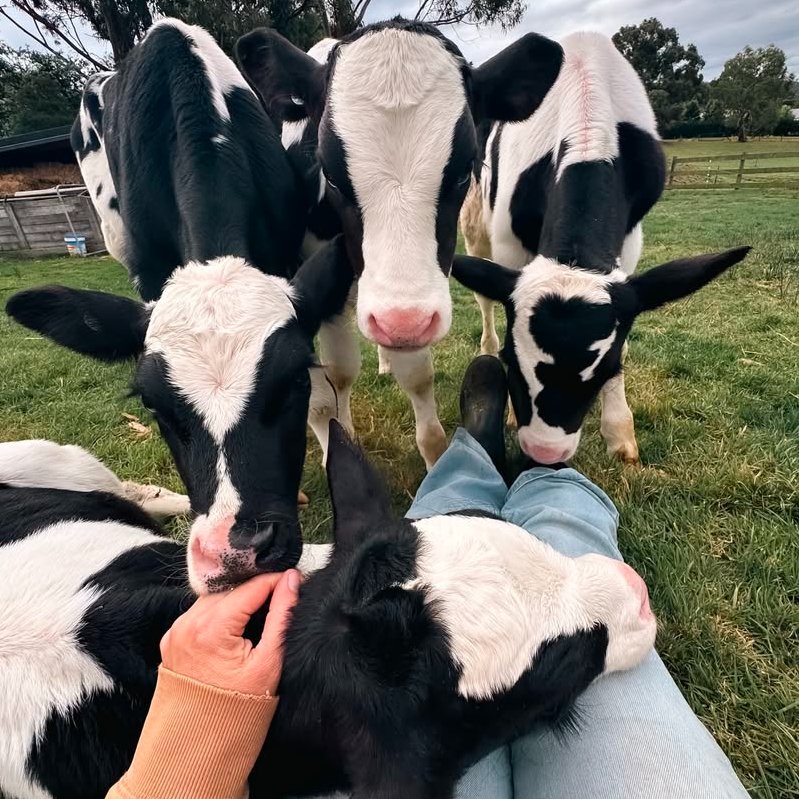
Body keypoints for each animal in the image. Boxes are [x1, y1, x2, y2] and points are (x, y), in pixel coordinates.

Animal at [452, 32, 751, 465]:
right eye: (511, 360)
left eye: (604, 372)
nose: (545, 451)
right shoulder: (508, 241)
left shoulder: (629, 244)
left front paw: (620, 432)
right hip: (476, 221)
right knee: (483, 294)